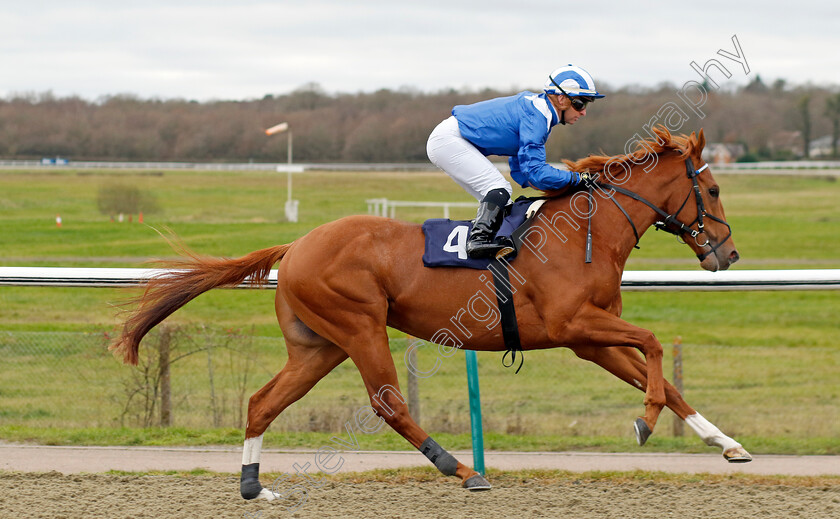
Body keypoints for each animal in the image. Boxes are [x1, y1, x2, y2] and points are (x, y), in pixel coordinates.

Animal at [111, 125, 748, 500]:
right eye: (714, 190)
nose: (728, 253)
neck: (585, 234)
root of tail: (297, 245)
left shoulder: (588, 339)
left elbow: (663, 377)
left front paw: (725, 442)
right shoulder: (574, 326)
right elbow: (655, 344)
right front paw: (645, 422)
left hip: (319, 345)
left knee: (263, 402)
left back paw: (253, 487)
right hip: (360, 326)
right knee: (387, 402)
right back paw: (461, 470)